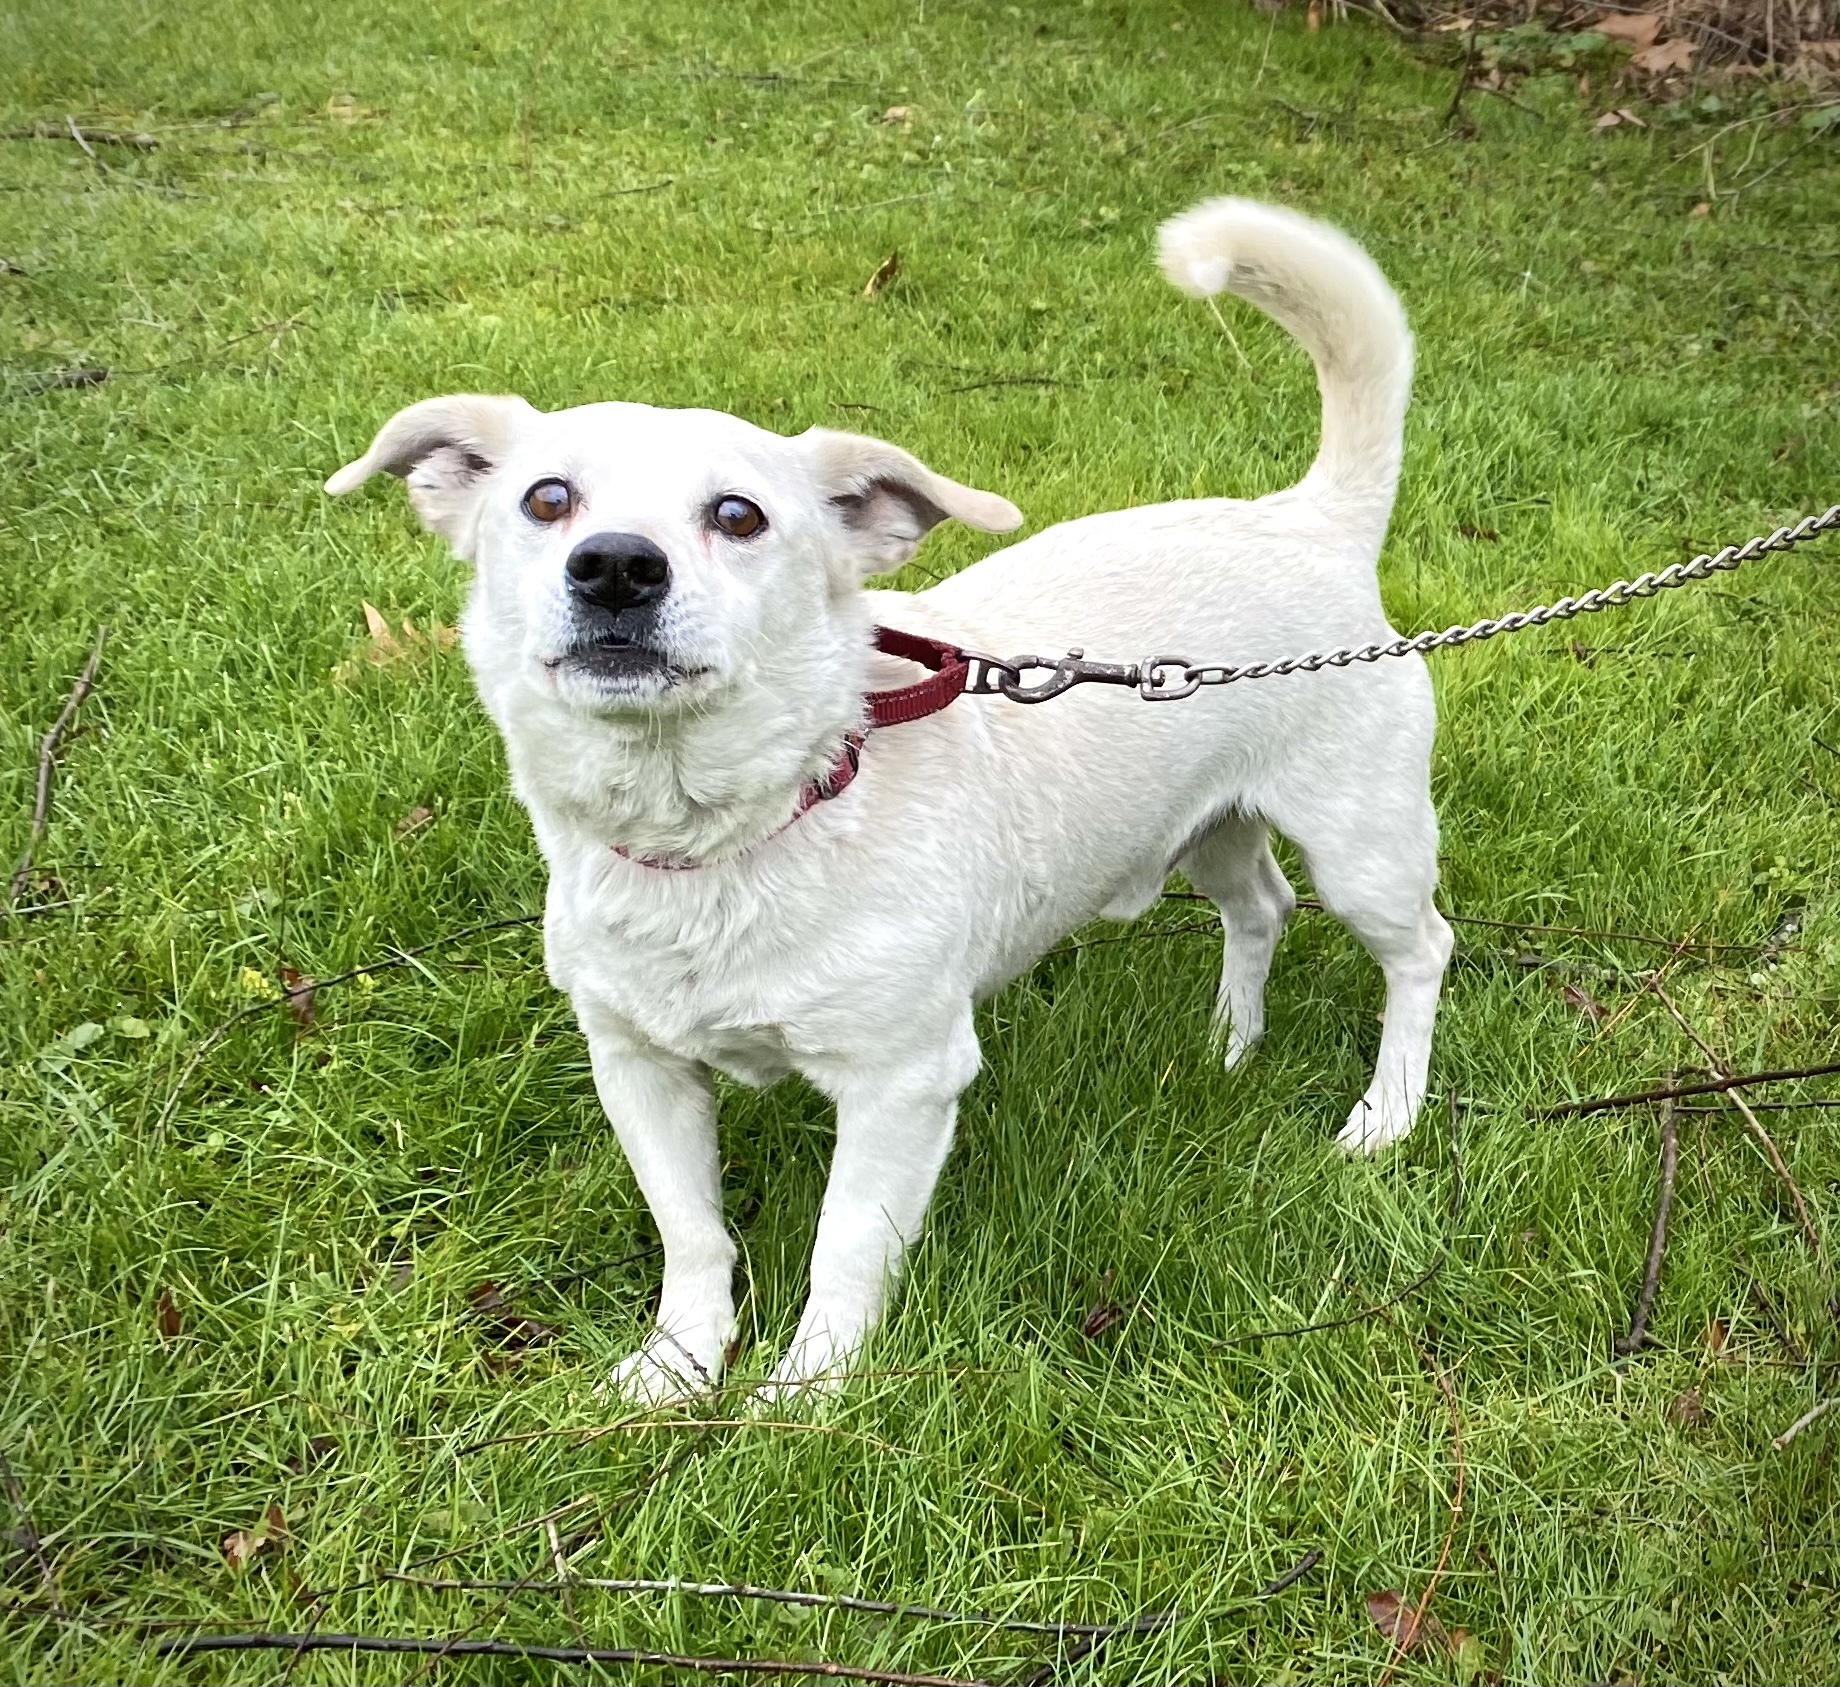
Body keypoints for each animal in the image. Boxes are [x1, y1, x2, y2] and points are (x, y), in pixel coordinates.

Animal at [327, 200, 1449, 1398]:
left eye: (739, 515)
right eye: (546, 499)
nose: (617, 565)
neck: (727, 832)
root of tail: (1309, 517)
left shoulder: (901, 1082)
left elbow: (847, 1245)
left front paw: (805, 1395)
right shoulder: (637, 1065)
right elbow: (691, 1230)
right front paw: (678, 1365)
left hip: (1362, 840)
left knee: (1419, 950)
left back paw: (1385, 1116)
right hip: (1205, 825)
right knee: (1261, 907)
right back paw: (1229, 1046)